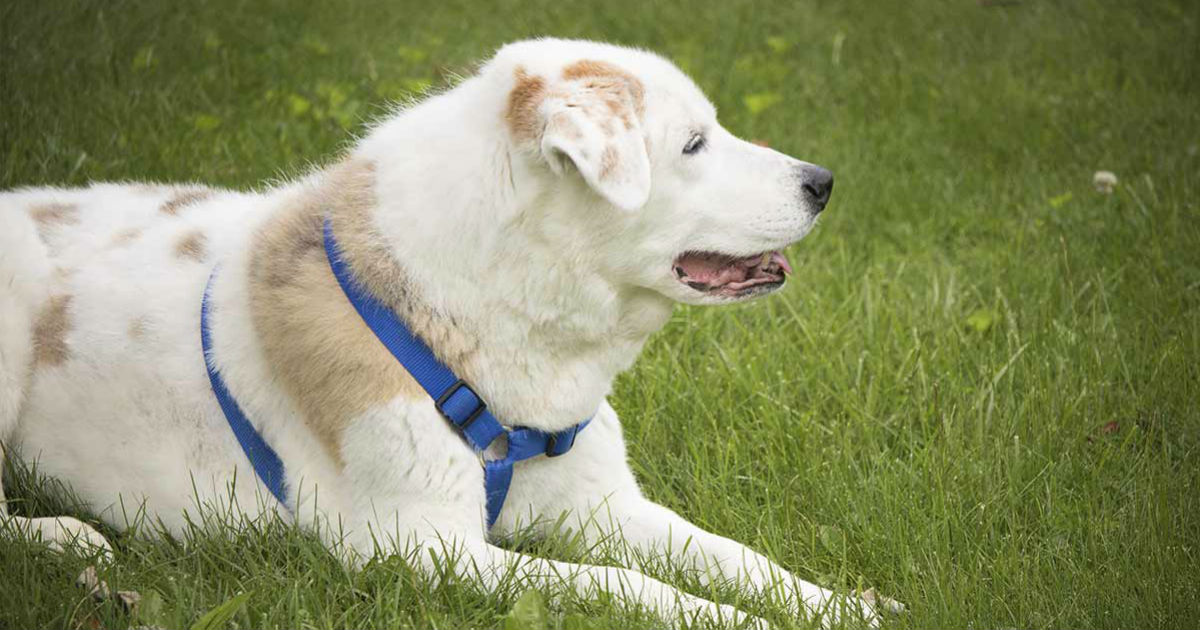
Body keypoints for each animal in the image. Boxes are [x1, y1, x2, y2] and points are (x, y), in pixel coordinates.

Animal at [2, 38, 892, 624]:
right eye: (694, 144)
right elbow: (625, 588)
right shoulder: (421, 547)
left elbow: (734, 556)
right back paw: (62, 538)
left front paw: (840, 604)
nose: (823, 183)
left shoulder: (602, 506)